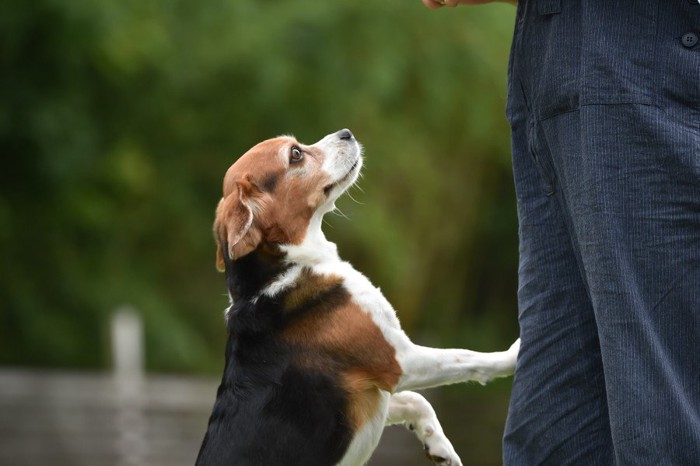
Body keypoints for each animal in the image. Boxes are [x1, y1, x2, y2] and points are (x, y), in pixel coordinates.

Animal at [197, 129, 520, 466]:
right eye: (295, 155)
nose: (346, 133)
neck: (284, 267)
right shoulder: (398, 360)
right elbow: (468, 359)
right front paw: (514, 354)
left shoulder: (374, 394)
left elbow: (417, 400)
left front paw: (439, 446)